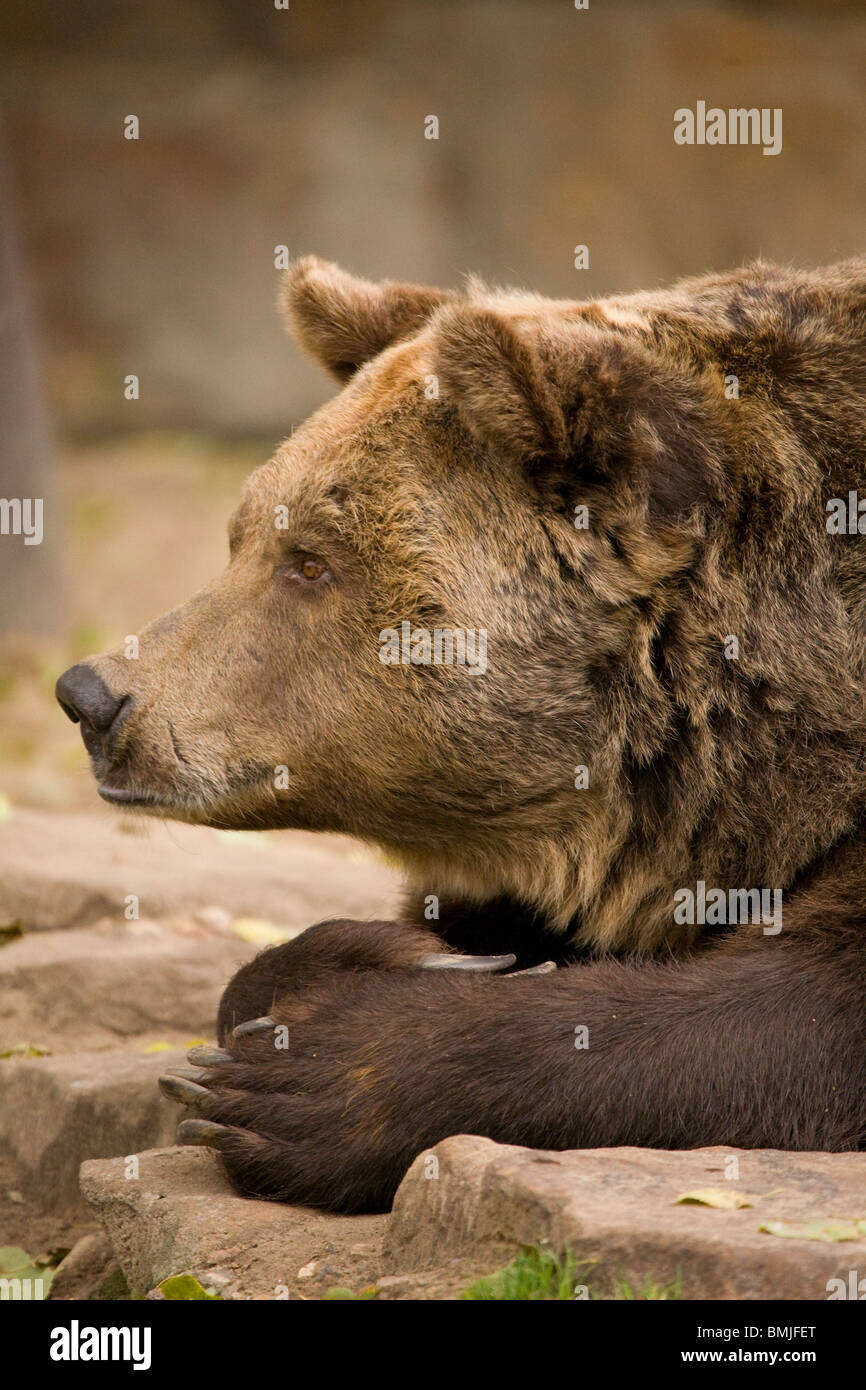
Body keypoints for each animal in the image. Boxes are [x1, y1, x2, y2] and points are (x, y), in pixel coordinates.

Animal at [56, 254, 866, 1214]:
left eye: (312, 562)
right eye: (243, 537)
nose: (92, 696)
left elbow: (797, 1010)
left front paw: (308, 1078)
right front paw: (389, 960)